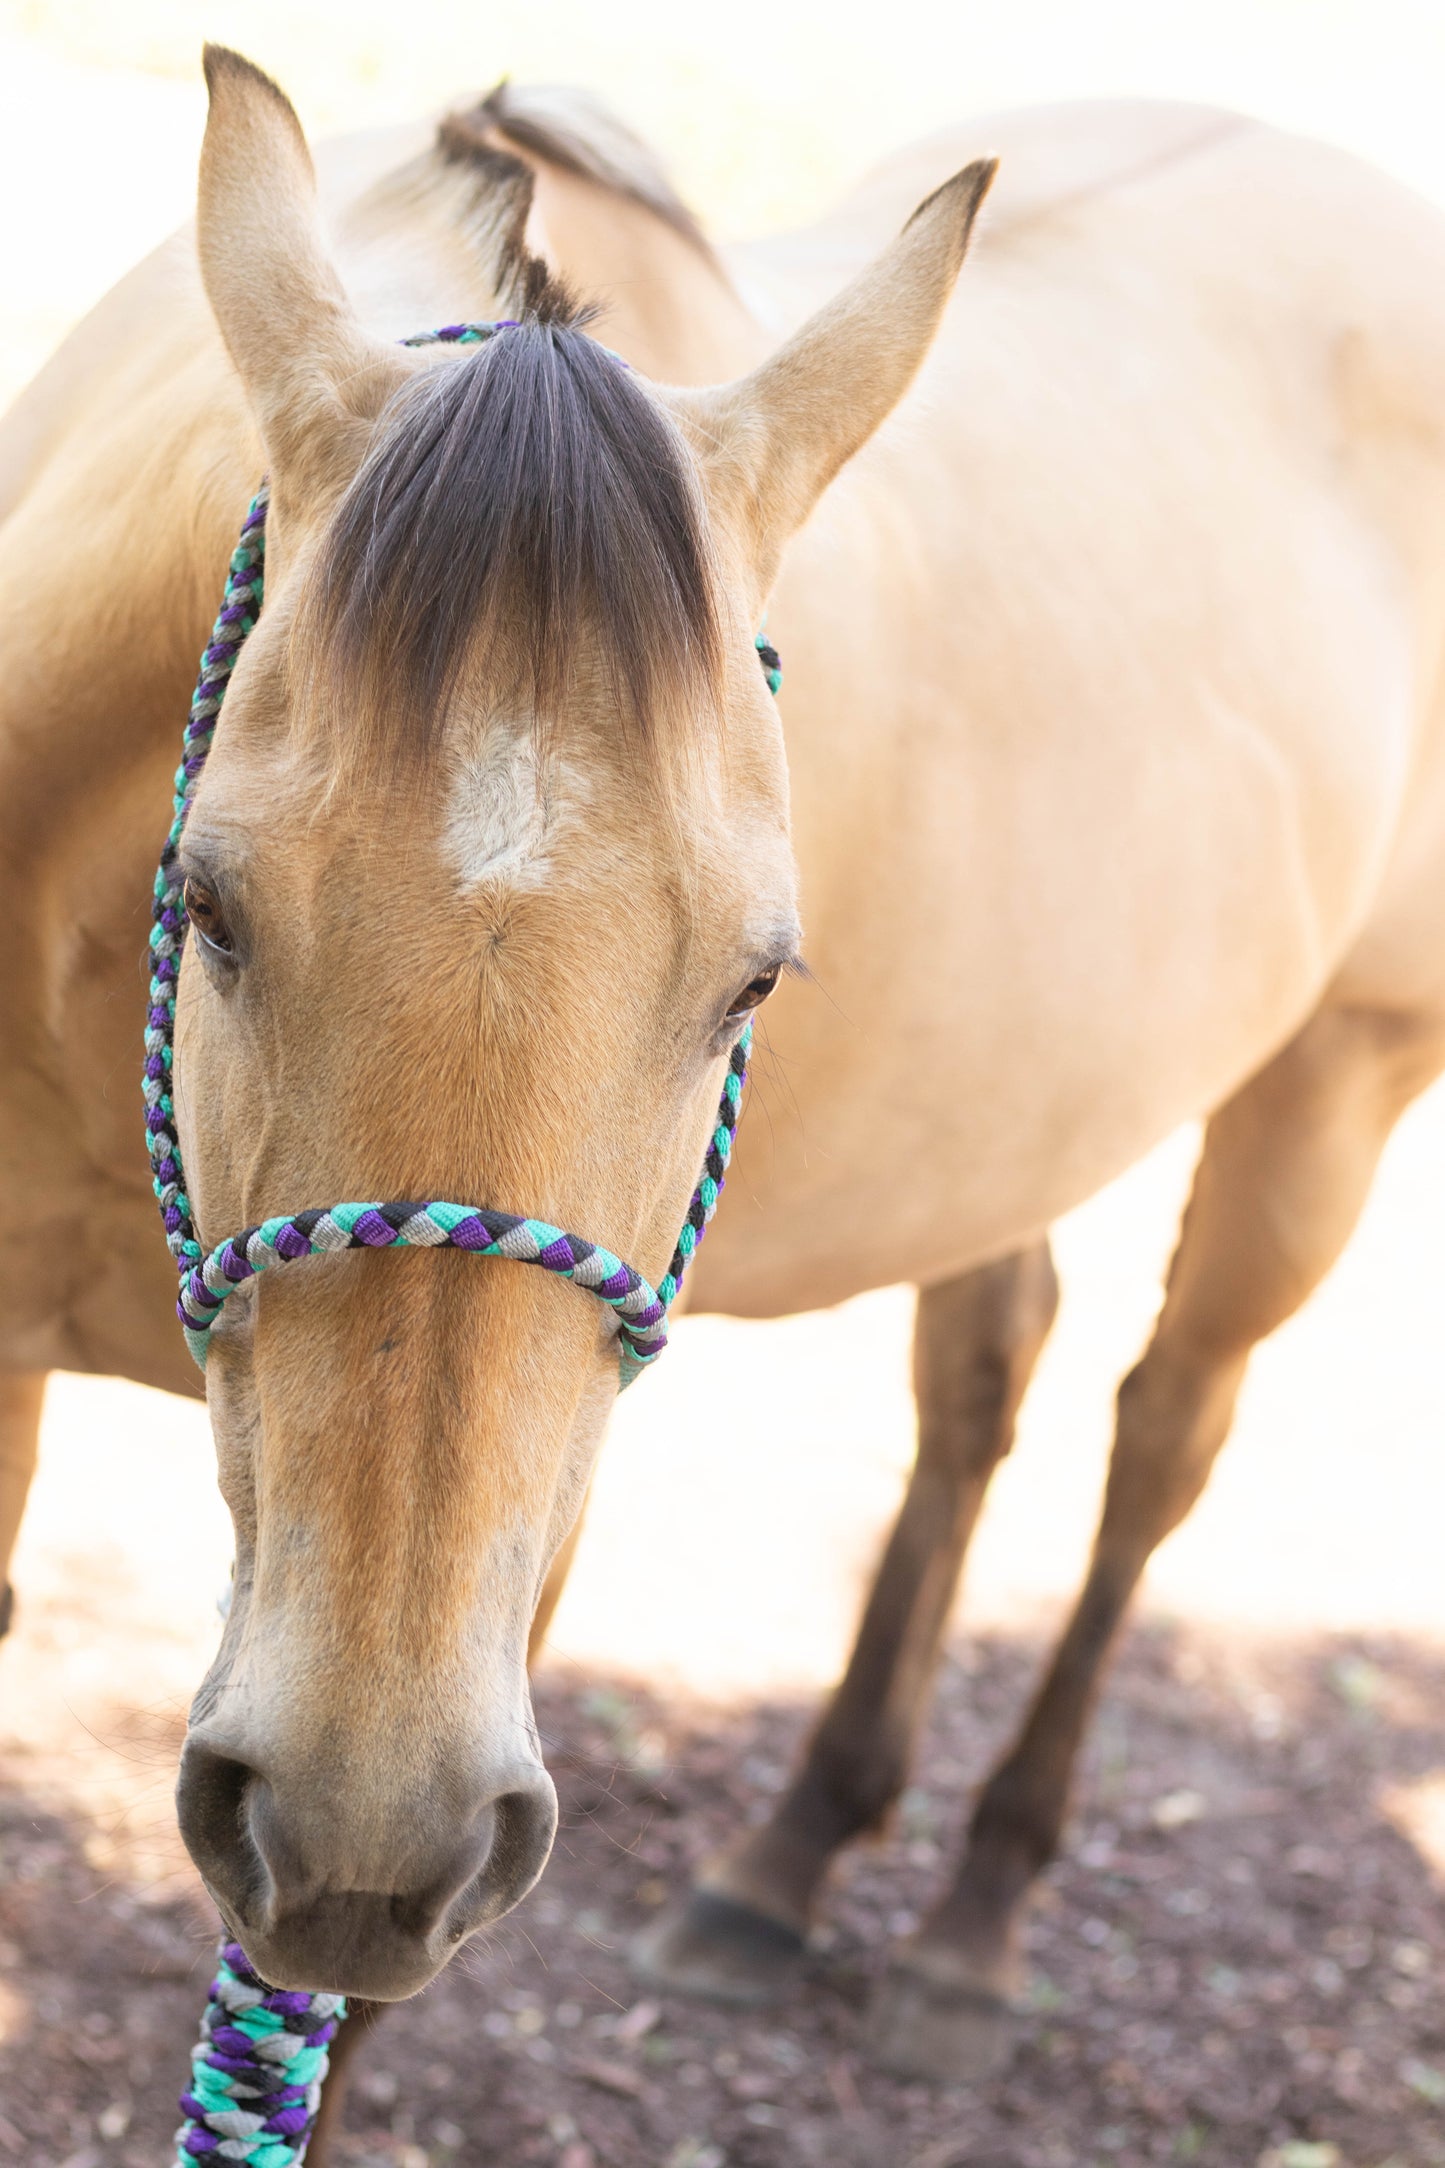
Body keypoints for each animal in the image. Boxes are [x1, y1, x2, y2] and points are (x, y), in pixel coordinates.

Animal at [2, 38, 1445, 2133]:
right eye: (214, 904)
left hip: (1341, 1079)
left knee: (1163, 1434)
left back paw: (973, 1914)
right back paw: (788, 1859)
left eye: (754, 975)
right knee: (982, 1379)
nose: (354, 1812)